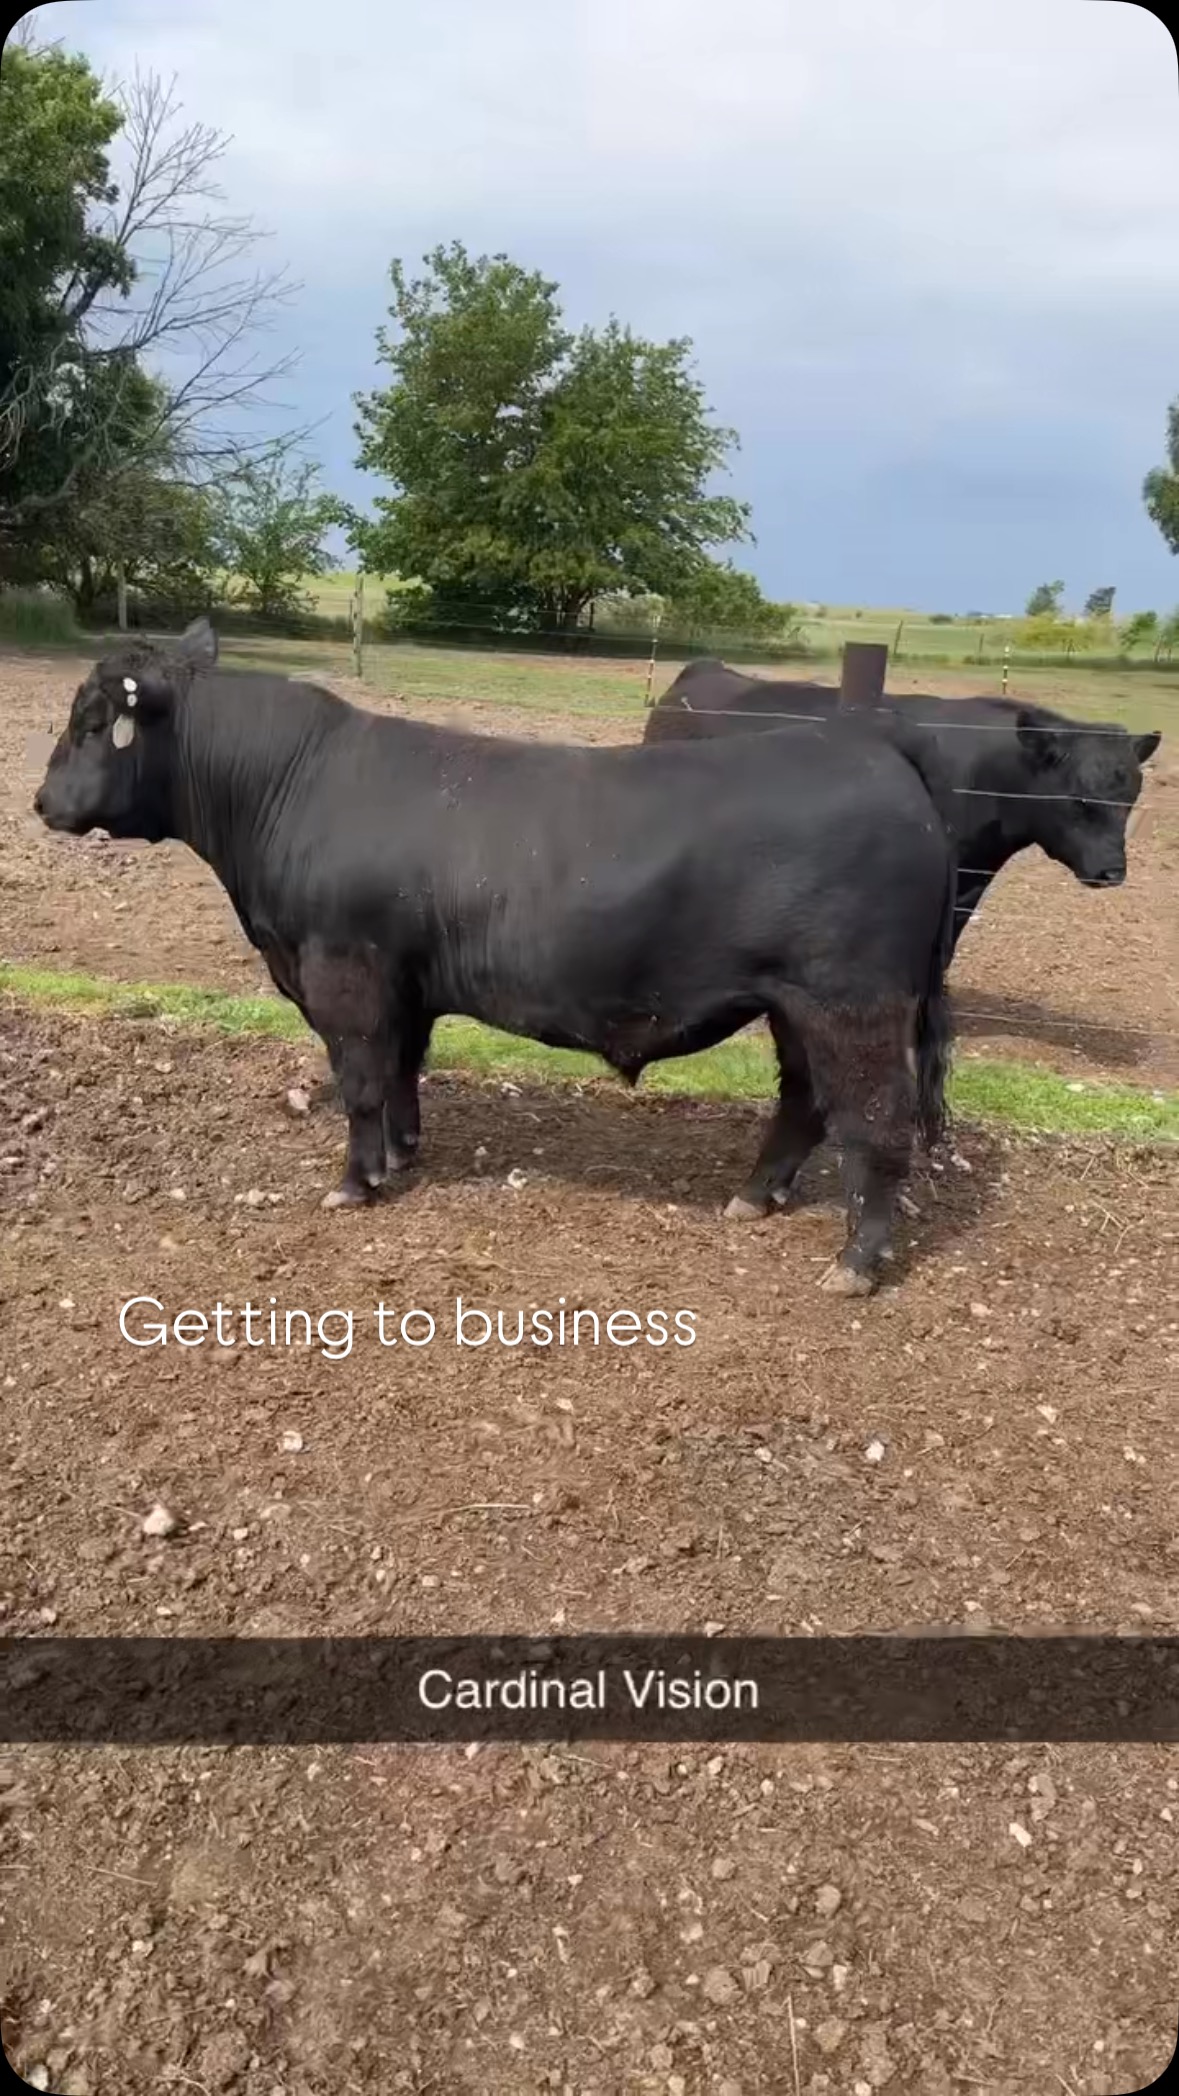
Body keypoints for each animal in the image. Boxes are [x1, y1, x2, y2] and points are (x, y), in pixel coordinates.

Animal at [34, 619, 958, 1296]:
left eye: (92, 724)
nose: (42, 801)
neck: (287, 791)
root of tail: (878, 756)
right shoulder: (402, 981)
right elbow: (402, 1070)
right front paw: (402, 1152)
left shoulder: (344, 969)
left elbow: (360, 1078)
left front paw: (355, 1181)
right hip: (795, 1004)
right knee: (804, 1098)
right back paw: (754, 1196)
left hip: (852, 1002)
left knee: (875, 1122)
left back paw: (854, 1263)